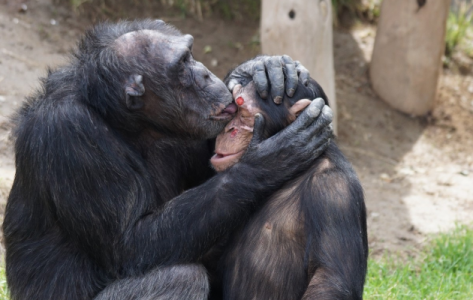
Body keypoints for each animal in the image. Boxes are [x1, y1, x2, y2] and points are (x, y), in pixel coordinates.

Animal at [2, 19, 332, 298]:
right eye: (183, 63)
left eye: (190, 53)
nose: (205, 72)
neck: (127, 123)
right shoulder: (71, 131)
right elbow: (131, 244)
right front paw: (272, 158)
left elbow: (209, 161)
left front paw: (265, 68)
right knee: (181, 278)